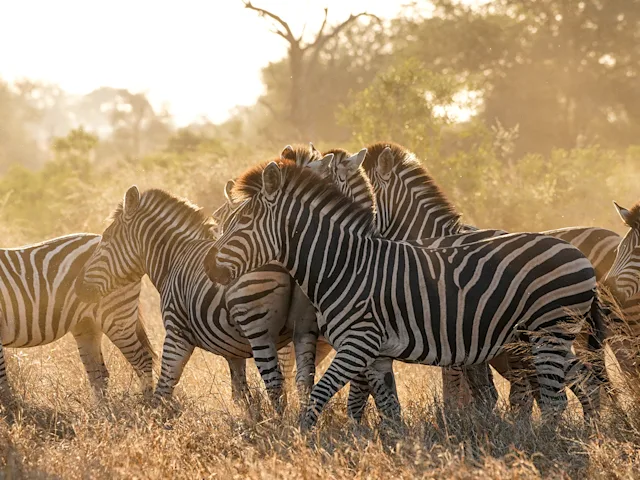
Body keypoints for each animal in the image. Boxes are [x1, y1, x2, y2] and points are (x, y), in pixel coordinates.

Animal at [0, 233, 154, 401]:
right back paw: (102, 408)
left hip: (117, 317)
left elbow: (2, 383)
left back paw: (149, 404)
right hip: (87, 325)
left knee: (143, 361)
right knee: (99, 374)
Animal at [75, 186, 312, 410]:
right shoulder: (233, 352)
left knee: (276, 383)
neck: (175, 258)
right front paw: (253, 421)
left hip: (258, 330)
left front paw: (156, 420)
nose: (78, 287)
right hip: (305, 328)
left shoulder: (177, 333)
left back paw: (282, 425)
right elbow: (242, 395)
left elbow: (164, 388)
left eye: (106, 239)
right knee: (303, 381)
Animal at [204, 160, 604, 429]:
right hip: (535, 336)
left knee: (555, 399)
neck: (343, 264)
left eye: (242, 223)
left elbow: (319, 396)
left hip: (548, 330)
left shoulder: (358, 342)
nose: (208, 266)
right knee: (584, 381)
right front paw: (396, 449)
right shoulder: (378, 354)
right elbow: (388, 408)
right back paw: (588, 436)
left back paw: (548, 443)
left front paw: (300, 441)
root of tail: (576, 251)